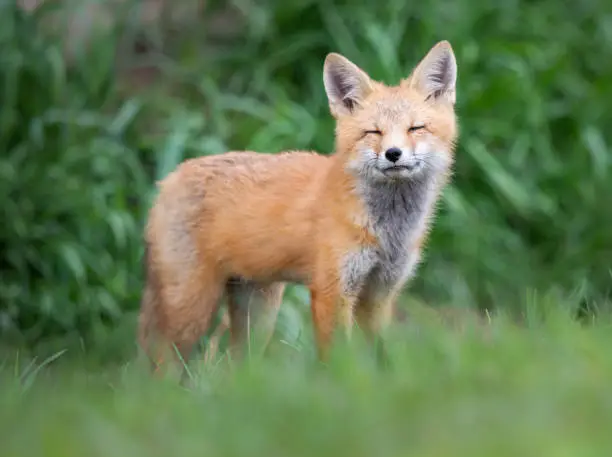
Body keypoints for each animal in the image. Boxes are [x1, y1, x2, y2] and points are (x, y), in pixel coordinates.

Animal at [137, 40, 454, 370]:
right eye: (373, 132)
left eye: (415, 128)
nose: (393, 153)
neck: (388, 231)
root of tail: (168, 178)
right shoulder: (331, 290)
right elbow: (337, 359)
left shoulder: (379, 293)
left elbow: (381, 358)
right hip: (191, 310)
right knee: (163, 366)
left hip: (257, 313)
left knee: (236, 367)